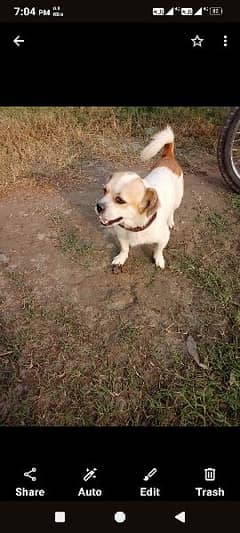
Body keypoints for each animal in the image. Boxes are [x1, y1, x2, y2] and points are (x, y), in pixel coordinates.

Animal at [94, 126, 183, 268]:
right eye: (104, 191)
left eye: (120, 200)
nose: (98, 206)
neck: (134, 226)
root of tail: (168, 157)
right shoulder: (122, 236)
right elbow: (124, 248)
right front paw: (121, 258)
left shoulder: (164, 238)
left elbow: (159, 249)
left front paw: (159, 259)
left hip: (178, 201)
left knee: (172, 211)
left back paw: (170, 221)